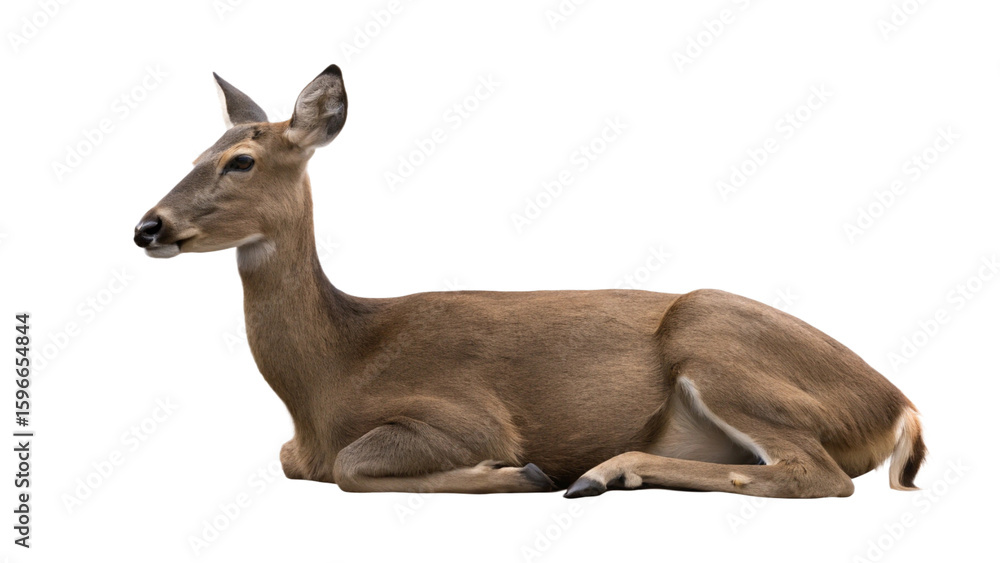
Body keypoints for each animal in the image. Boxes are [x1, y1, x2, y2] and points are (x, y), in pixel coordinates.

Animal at [133, 64, 925, 499]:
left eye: (240, 160)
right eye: (195, 153)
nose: (147, 226)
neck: (327, 380)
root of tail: (898, 405)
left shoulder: (463, 412)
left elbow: (356, 465)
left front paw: (520, 472)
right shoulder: (296, 451)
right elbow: (303, 465)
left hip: (719, 347)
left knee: (817, 473)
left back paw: (597, 472)